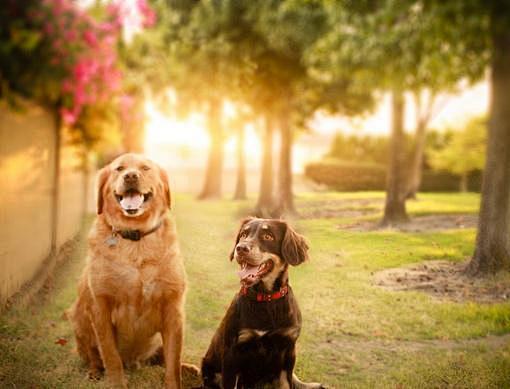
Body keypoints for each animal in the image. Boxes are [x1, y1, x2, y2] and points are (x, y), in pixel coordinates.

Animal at [200, 217, 322, 386]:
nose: (240, 248)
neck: (266, 299)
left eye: (268, 236)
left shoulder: (288, 350)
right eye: (243, 234)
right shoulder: (232, 352)